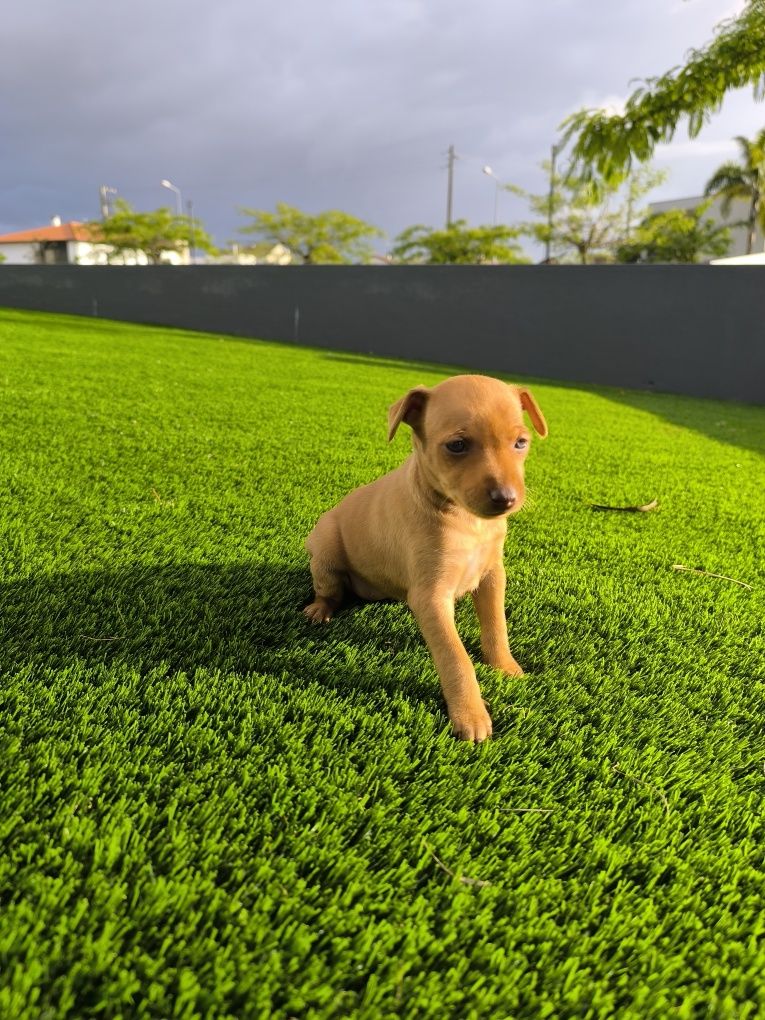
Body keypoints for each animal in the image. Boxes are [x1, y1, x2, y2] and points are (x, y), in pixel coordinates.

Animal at [301, 375, 546, 742]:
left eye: (520, 443)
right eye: (457, 446)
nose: (506, 499)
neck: (466, 520)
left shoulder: (492, 574)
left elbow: (496, 625)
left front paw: (504, 665)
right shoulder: (431, 596)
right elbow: (455, 656)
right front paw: (471, 715)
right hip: (326, 549)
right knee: (329, 589)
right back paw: (320, 609)